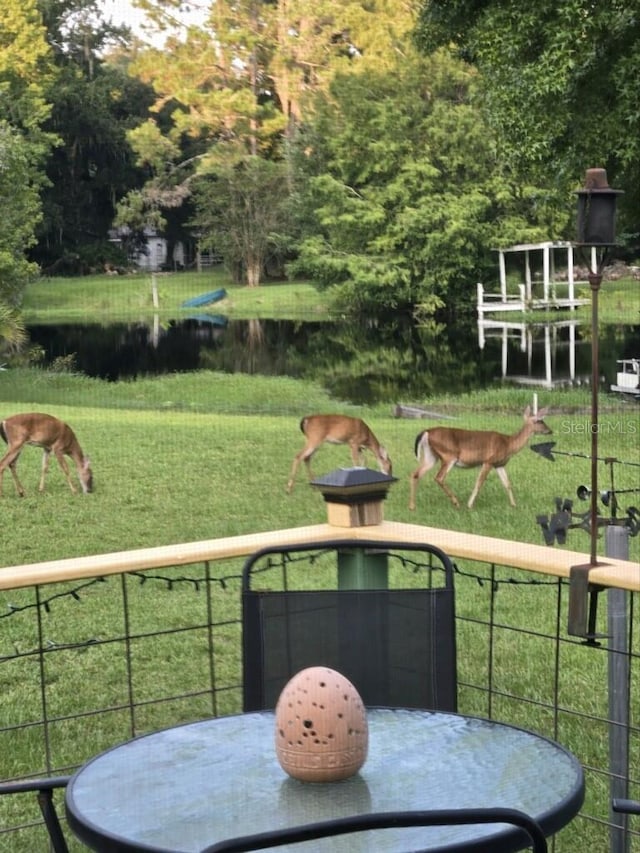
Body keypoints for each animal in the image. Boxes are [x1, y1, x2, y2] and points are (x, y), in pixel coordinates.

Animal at [410, 404, 552, 510]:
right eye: (539, 420)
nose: (550, 431)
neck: (508, 444)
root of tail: (427, 432)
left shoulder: (499, 464)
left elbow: (507, 484)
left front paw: (514, 505)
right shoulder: (488, 461)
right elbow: (479, 483)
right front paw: (470, 505)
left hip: (431, 456)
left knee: (415, 474)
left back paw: (412, 506)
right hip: (448, 456)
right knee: (439, 477)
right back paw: (456, 503)